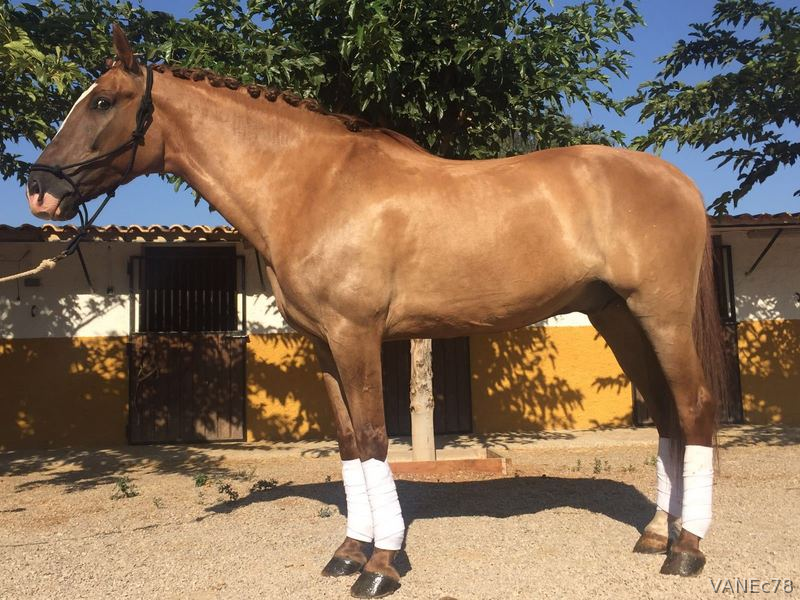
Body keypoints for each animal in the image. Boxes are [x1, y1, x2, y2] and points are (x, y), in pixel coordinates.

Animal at [25, 25, 727, 598]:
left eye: (102, 101)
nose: (38, 189)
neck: (311, 184)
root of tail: (677, 180)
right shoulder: (323, 343)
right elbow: (346, 442)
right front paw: (348, 550)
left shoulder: (356, 335)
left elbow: (370, 437)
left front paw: (381, 565)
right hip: (618, 318)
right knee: (666, 413)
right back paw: (656, 534)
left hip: (660, 317)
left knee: (694, 409)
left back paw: (688, 551)